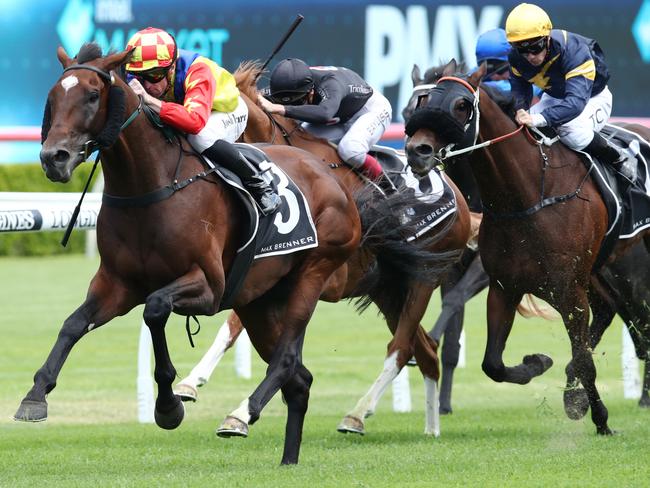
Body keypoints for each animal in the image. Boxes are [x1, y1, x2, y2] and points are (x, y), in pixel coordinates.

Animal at [11, 44, 436, 466]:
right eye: (52, 97)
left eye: (92, 95)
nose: (54, 157)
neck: (151, 186)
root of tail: (335, 181)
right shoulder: (116, 285)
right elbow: (73, 324)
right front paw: (35, 396)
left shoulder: (208, 286)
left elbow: (155, 309)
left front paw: (168, 406)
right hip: (260, 301)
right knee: (302, 379)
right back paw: (288, 459)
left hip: (314, 275)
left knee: (291, 359)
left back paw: (245, 413)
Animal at [173, 59, 470, 436]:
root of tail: (460, 198)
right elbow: (232, 327)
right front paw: (190, 383)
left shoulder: (312, 272)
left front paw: (241, 411)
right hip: (386, 290)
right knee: (427, 350)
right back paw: (431, 428)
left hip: (422, 280)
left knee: (401, 349)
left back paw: (357, 414)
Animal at [400, 61, 648, 434]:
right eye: (417, 105)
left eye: (461, 105)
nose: (418, 151)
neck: (527, 195)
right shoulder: (504, 285)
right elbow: (492, 363)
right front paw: (538, 364)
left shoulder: (567, 290)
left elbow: (583, 357)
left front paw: (602, 420)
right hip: (600, 272)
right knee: (609, 313)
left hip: (630, 269)